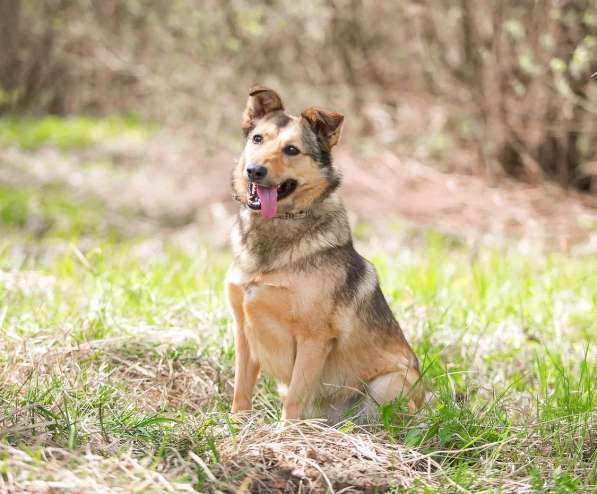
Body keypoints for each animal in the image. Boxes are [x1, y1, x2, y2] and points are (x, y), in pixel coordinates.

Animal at [225, 86, 424, 420]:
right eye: (258, 139)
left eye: (292, 150)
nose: (254, 170)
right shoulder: (244, 331)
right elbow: (241, 391)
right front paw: (236, 426)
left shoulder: (313, 338)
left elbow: (294, 399)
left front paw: (285, 433)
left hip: (389, 383)